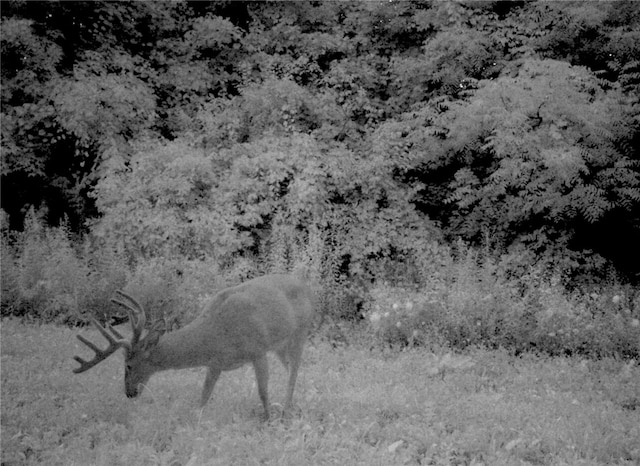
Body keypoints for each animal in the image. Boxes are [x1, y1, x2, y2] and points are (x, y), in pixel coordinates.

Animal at [72, 274, 316, 418]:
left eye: (128, 365)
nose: (129, 393)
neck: (214, 334)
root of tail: (307, 286)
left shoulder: (257, 350)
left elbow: (263, 392)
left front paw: (268, 419)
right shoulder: (216, 363)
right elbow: (203, 396)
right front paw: (196, 422)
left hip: (300, 332)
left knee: (294, 371)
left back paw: (286, 408)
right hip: (280, 345)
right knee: (292, 370)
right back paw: (292, 404)